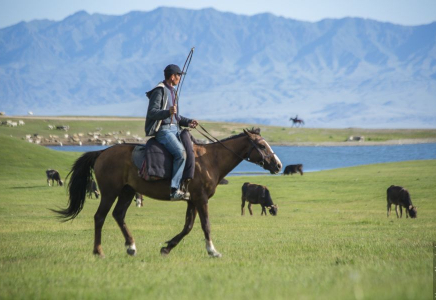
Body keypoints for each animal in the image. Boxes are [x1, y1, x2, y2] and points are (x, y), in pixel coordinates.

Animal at [52, 128, 282, 258]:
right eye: (261, 145)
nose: (278, 165)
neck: (210, 160)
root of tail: (102, 152)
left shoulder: (192, 200)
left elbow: (188, 227)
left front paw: (167, 248)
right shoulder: (201, 199)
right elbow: (205, 225)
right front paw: (212, 251)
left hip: (127, 192)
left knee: (118, 215)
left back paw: (131, 246)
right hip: (110, 192)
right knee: (100, 217)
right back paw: (99, 251)